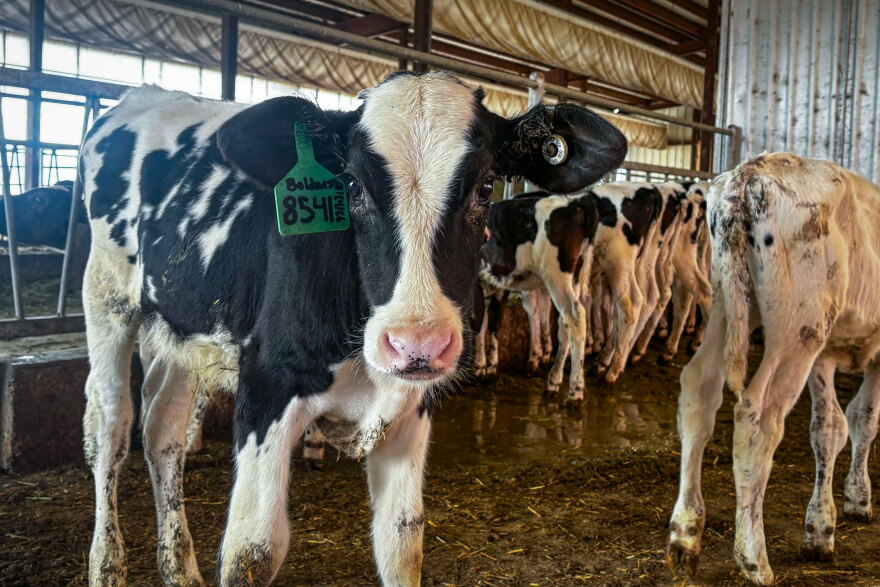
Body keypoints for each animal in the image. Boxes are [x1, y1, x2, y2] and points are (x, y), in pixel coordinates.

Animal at [79, 72, 626, 586]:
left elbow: (401, 541)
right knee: (111, 426)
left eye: (487, 187)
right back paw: (107, 567)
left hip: (178, 329)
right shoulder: (267, 384)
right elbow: (252, 550)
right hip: (106, 296)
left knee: (163, 429)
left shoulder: (410, 407)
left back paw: (179, 569)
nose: (416, 344)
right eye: (352, 187)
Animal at [666, 153, 880, 585]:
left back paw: (685, 535)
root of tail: (750, 173)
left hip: (728, 304)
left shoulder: (824, 357)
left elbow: (830, 428)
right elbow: (864, 419)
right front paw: (857, 501)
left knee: (698, 389)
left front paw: (822, 526)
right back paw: (754, 560)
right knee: (758, 416)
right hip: (798, 328)